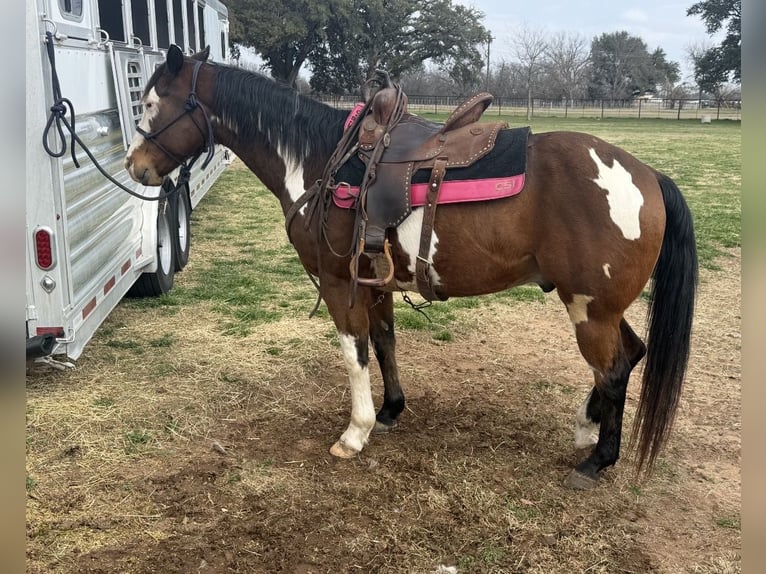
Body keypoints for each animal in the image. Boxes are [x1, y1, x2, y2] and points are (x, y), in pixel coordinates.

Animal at [124, 45, 697, 489]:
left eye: (151, 102)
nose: (135, 166)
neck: (319, 159)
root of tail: (648, 176)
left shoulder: (340, 284)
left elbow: (354, 353)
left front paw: (355, 431)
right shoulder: (374, 282)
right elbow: (384, 343)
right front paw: (390, 410)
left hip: (589, 310)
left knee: (614, 370)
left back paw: (598, 460)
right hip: (599, 307)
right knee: (631, 354)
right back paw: (586, 426)